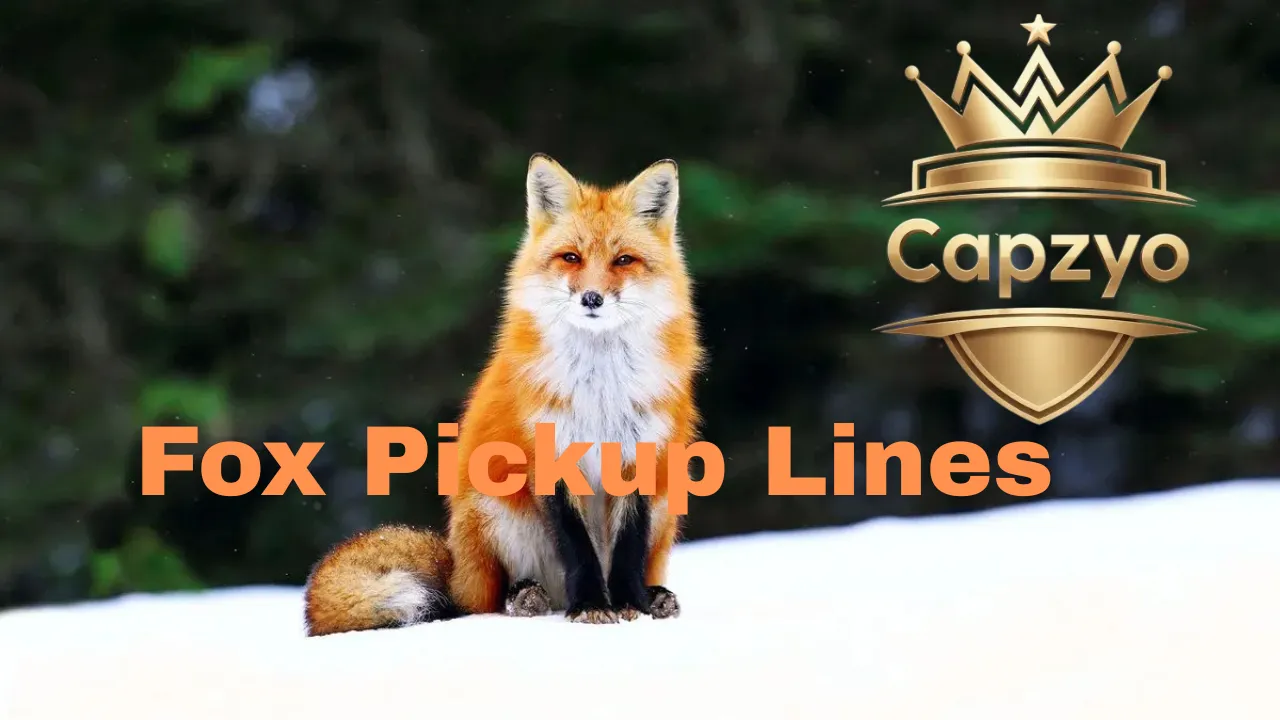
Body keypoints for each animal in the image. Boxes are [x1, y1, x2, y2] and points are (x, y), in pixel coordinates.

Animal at [303, 154, 703, 635]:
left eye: (624, 260)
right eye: (571, 257)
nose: (592, 298)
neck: (599, 391)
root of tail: (458, 568)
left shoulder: (638, 455)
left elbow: (627, 549)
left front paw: (630, 605)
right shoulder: (549, 457)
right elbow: (578, 550)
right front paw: (591, 606)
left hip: (667, 502)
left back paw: (655, 596)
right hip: (495, 508)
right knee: (489, 601)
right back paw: (527, 598)